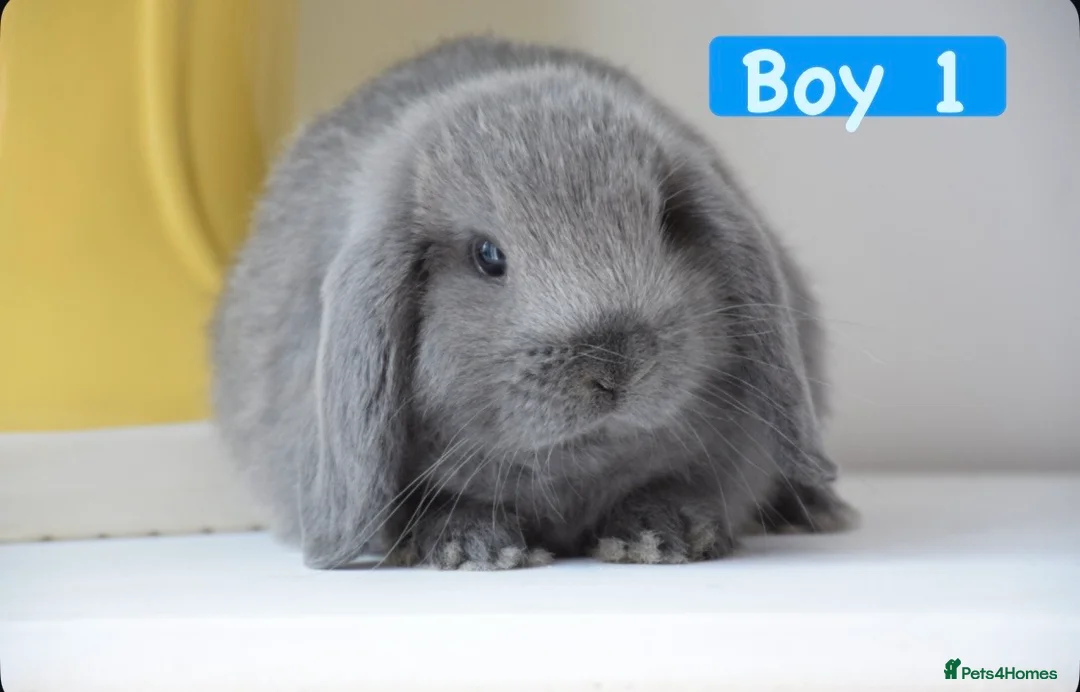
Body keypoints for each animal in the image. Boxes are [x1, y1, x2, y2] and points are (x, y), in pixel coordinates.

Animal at [210, 34, 857, 571]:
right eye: (487, 256)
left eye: (667, 222)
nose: (614, 361)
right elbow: (439, 505)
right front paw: (475, 547)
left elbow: (675, 486)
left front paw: (660, 535)